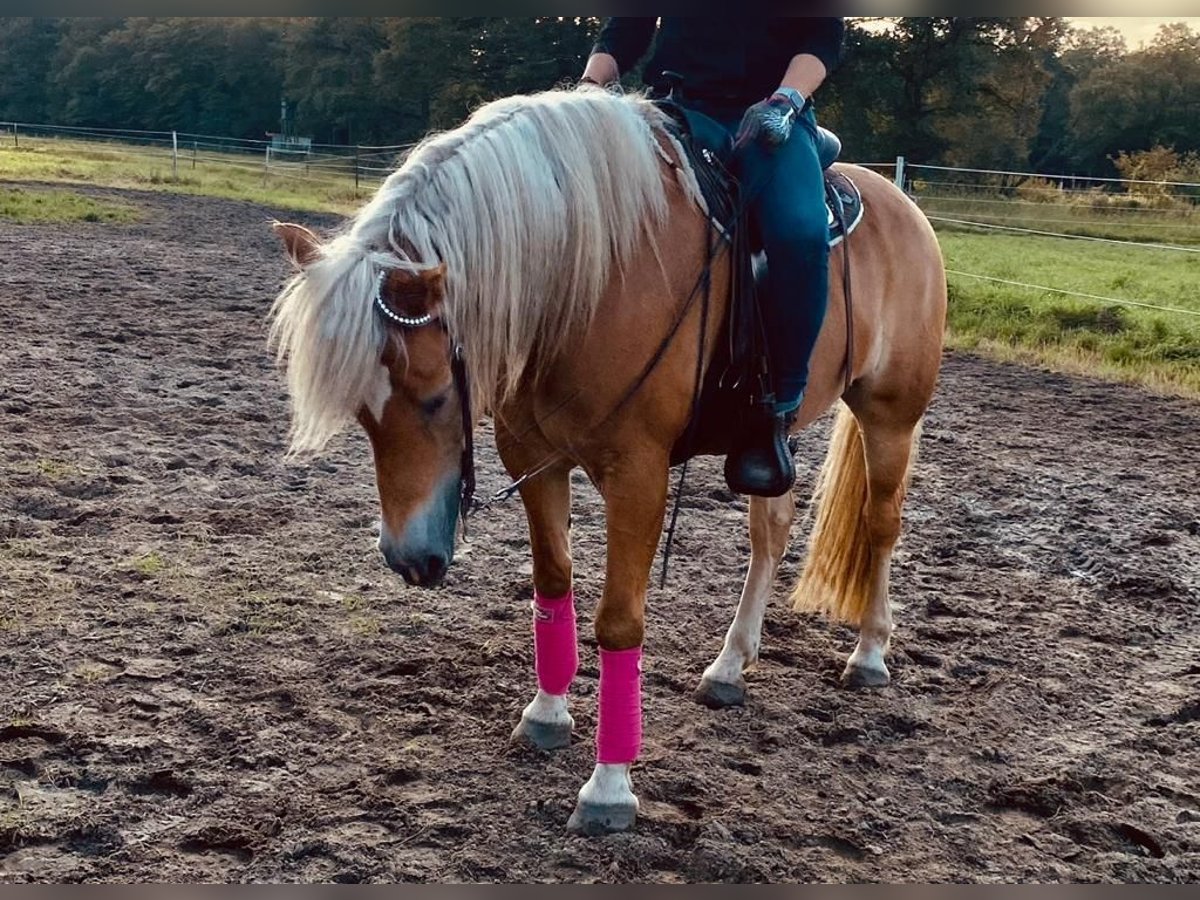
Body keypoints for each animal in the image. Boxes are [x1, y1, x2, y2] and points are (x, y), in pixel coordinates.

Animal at [270, 88, 945, 835]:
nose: (408, 558)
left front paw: (609, 787)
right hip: (770, 448)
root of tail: (901, 203)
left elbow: (619, 621)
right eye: (364, 411)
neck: (586, 282)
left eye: (437, 395)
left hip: (889, 418)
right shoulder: (534, 459)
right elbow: (553, 583)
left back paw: (870, 653)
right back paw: (730, 665)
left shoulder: (638, 476)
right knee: (771, 533)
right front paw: (546, 714)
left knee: (881, 526)